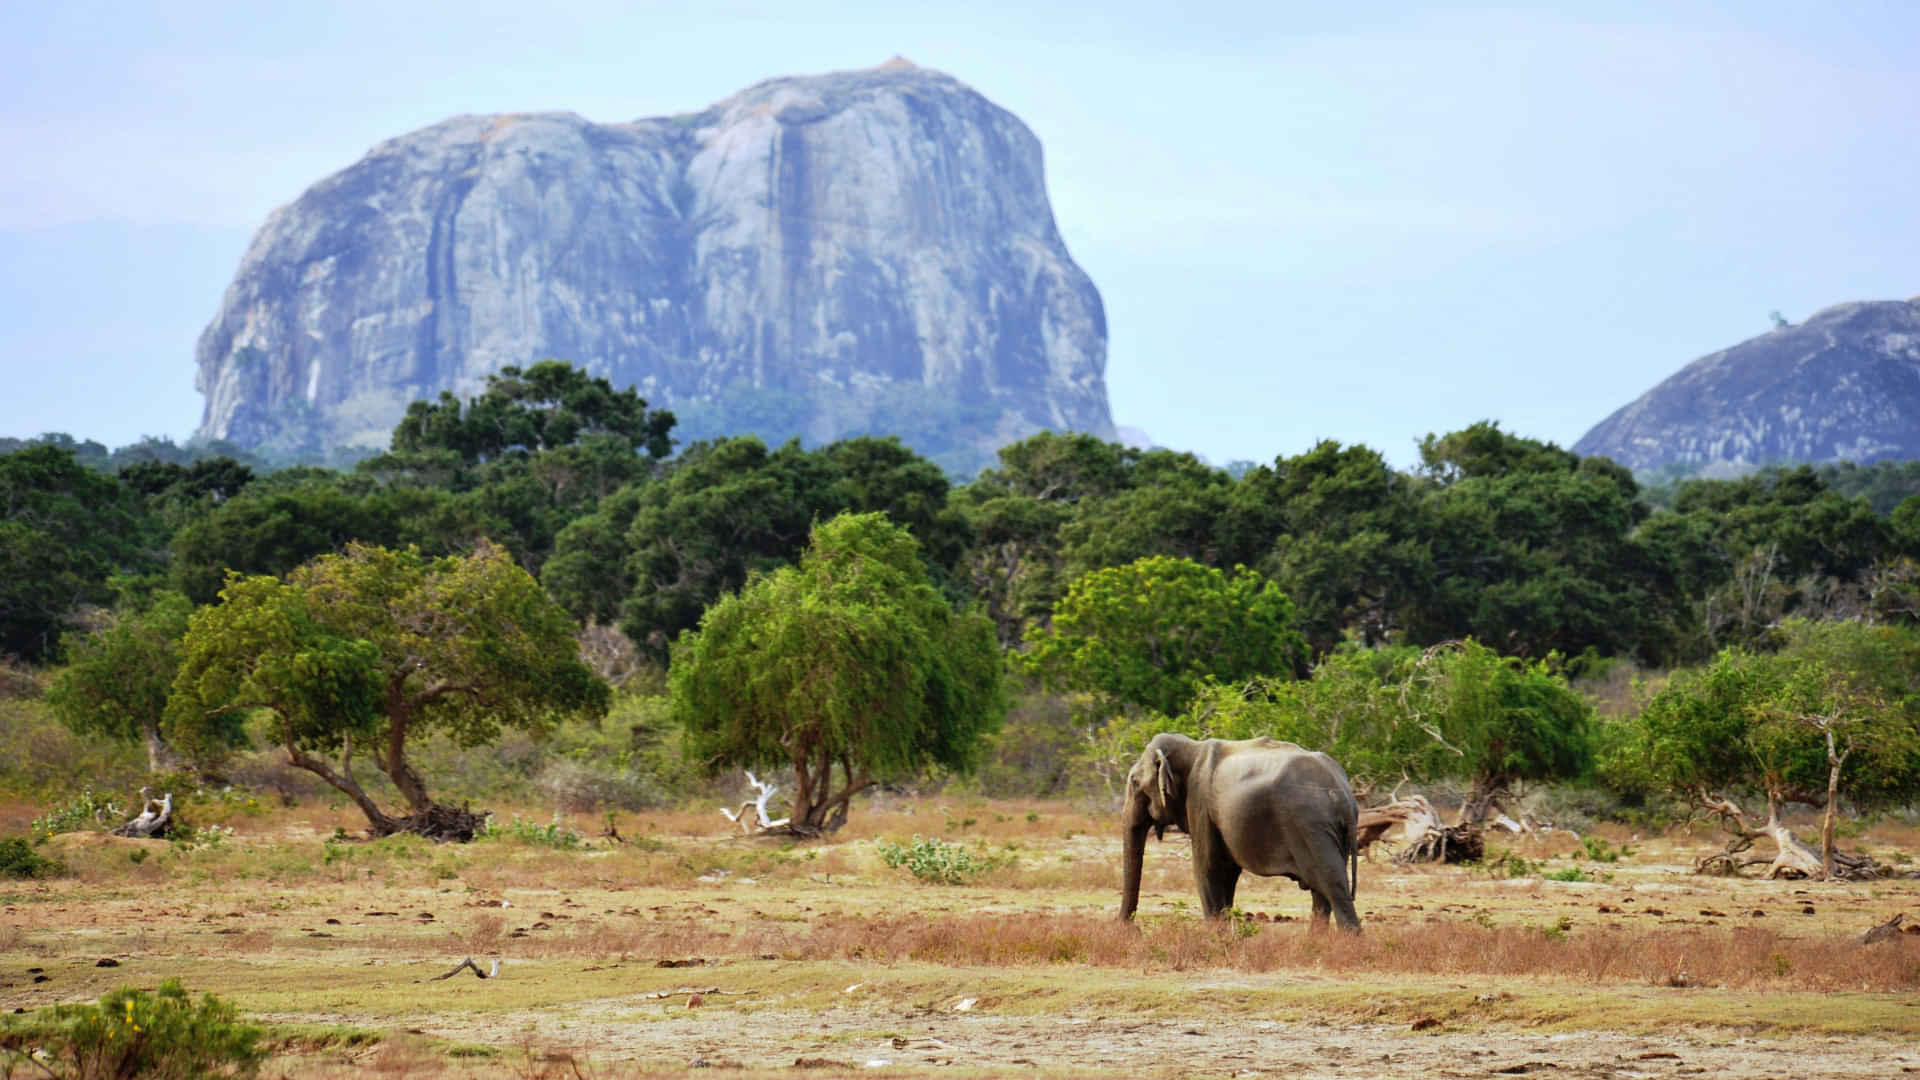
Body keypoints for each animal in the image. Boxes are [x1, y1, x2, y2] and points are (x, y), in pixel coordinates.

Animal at [1121, 726, 1359, 930]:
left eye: (1134, 782)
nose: (1132, 930)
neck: (1192, 747)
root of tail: (1343, 794)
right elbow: (1228, 872)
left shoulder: (1200, 803)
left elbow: (1208, 867)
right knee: (1323, 894)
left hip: (1309, 827)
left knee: (1332, 886)